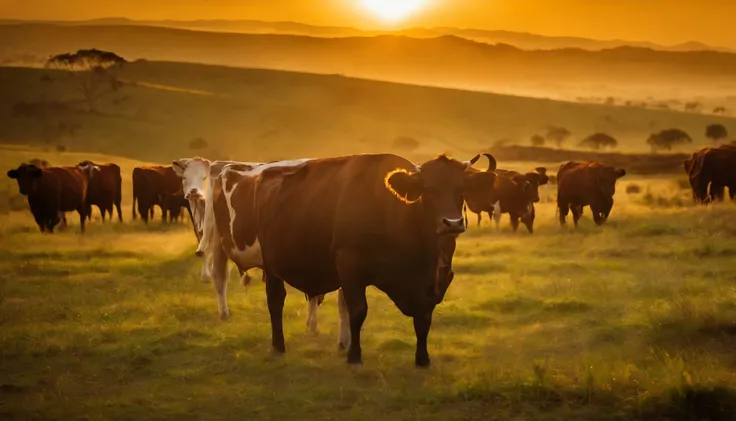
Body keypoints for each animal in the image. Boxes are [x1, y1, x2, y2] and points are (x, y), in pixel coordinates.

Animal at [204, 153, 498, 366]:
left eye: (461, 190)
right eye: (427, 190)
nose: (452, 223)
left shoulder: (426, 285)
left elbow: (423, 318)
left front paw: (422, 358)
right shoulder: (350, 267)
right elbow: (357, 311)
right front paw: (354, 355)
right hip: (248, 255)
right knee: (261, 296)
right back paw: (274, 344)